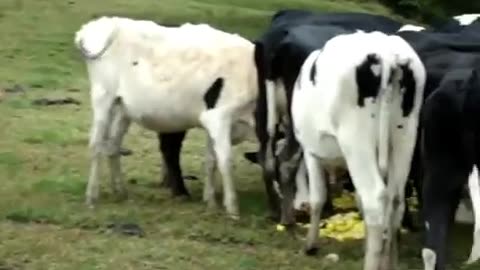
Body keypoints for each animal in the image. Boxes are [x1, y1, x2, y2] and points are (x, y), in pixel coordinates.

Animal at [73, 15, 256, 219]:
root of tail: (105, 22)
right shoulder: (219, 116)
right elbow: (225, 161)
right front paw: (232, 208)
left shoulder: (213, 122)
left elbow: (211, 160)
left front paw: (210, 202)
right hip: (103, 97)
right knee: (96, 145)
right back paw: (91, 196)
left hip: (122, 109)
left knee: (113, 145)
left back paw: (120, 191)